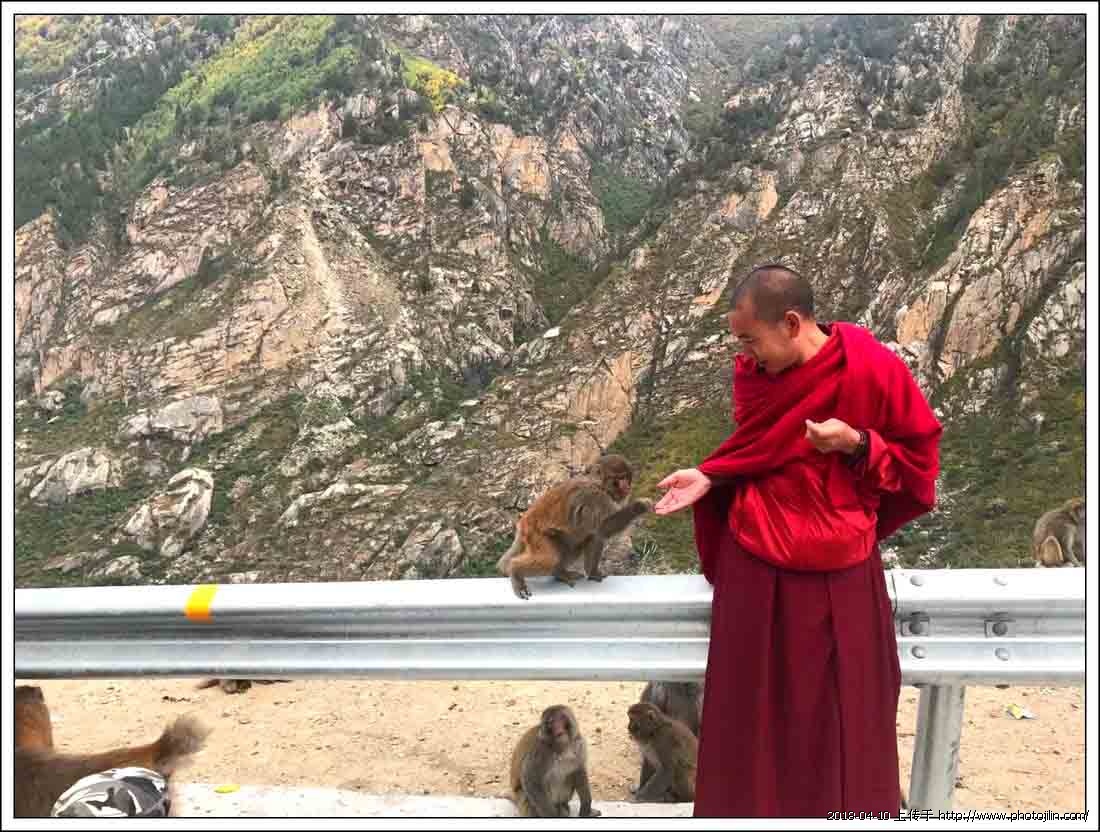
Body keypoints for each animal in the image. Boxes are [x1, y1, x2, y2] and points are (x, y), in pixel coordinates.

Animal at [497, 453, 652, 599]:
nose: (627, 486)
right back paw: (515, 571)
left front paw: (593, 572)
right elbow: (603, 527)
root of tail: (523, 522)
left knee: (587, 538)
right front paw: (639, 506)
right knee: (549, 560)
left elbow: (598, 533)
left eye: (626, 477)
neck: (599, 485)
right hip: (536, 535)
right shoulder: (596, 499)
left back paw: (562, 573)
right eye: (619, 478)